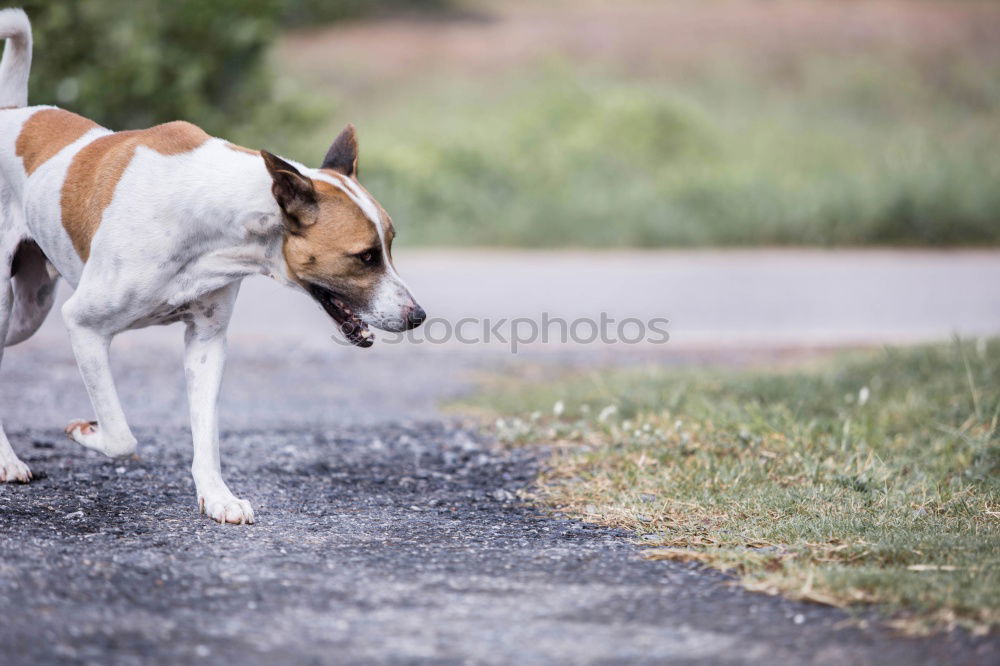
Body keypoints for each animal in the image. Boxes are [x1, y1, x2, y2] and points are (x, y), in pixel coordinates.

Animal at [0, 7, 426, 520]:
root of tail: (10, 112)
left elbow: (207, 434)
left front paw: (217, 496)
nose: (418, 316)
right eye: (364, 257)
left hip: (30, 309)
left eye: (390, 245)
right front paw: (87, 432)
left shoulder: (206, 341)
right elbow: (122, 437)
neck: (209, 216)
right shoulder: (83, 326)